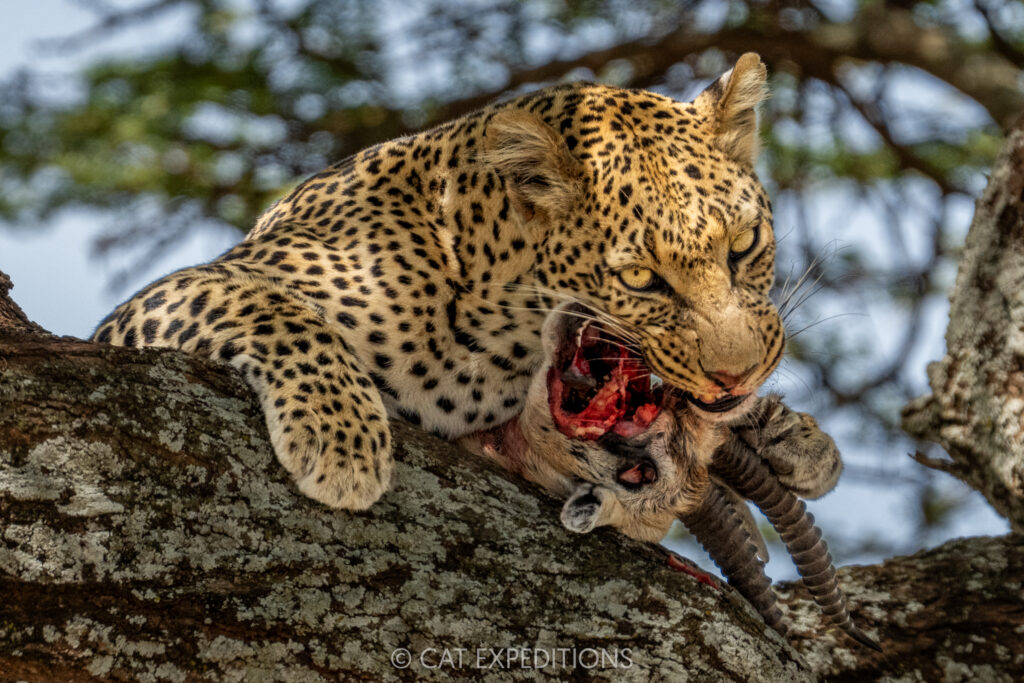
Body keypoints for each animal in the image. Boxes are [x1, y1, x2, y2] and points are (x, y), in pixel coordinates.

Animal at [92, 53, 786, 511]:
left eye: (743, 245)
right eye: (641, 278)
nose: (737, 377)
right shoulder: (150, 308)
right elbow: (278, 310)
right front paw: (342, 438)